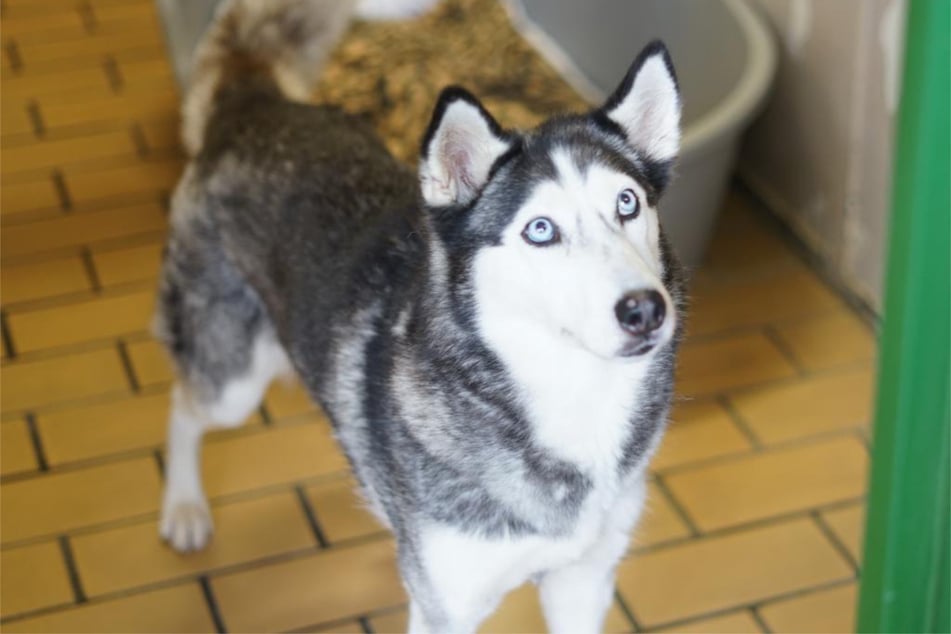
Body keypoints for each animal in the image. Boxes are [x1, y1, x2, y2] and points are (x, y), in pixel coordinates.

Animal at [160, 1, 688, 628]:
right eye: (540, 229)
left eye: (627, 203)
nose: (645, 309)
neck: (571, 400)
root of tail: (254, 102)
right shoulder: (447, 608)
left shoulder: (583, 581)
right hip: (232, 381)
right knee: (183, 404)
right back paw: (184, 509)